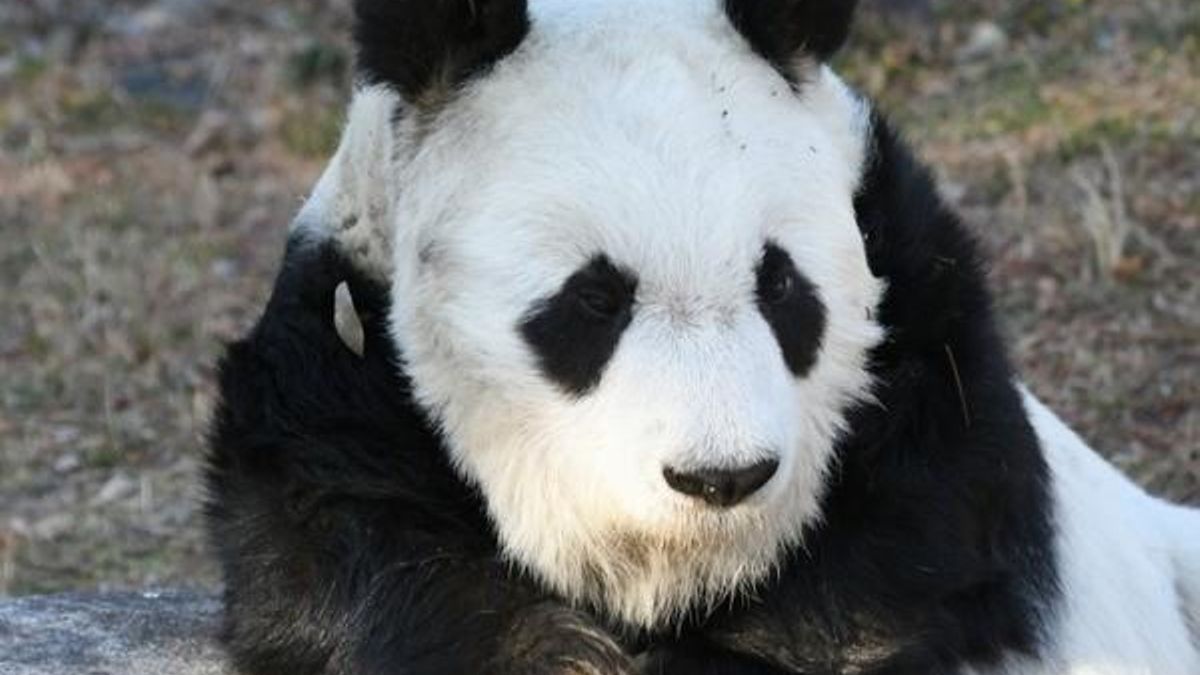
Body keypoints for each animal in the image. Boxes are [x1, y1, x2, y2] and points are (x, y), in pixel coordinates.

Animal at [206, 1, 1200, 672]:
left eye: (782, 286)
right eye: (594, 301)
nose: (721, 477)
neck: (688, 576)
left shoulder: (931, 363)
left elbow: (905, 572)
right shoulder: (339, 374)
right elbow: (357, 561)